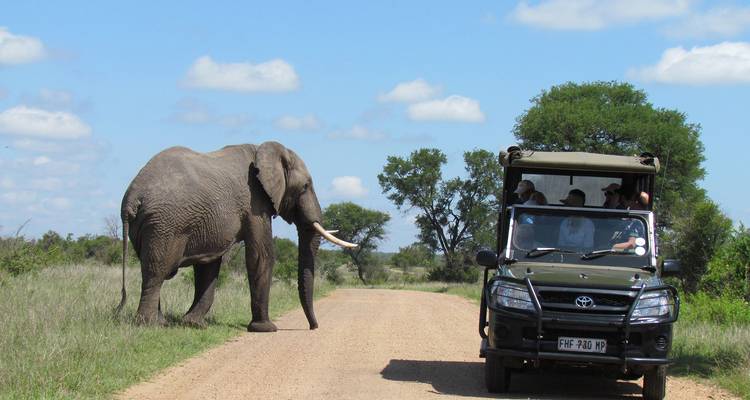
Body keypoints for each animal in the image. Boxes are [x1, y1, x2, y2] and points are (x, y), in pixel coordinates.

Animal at [116, 141, 355, 332]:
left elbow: (209, 266)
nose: (314, 327)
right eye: (306, 186)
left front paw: (193, 324)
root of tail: (131, 198)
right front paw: (265, 329)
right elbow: (261, 256)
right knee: (157, 271)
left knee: (151, 269)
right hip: (165, 224)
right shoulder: (255, 202)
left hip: (148, 225)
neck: (263, 150)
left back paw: (161, 322)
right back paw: (149, 324)